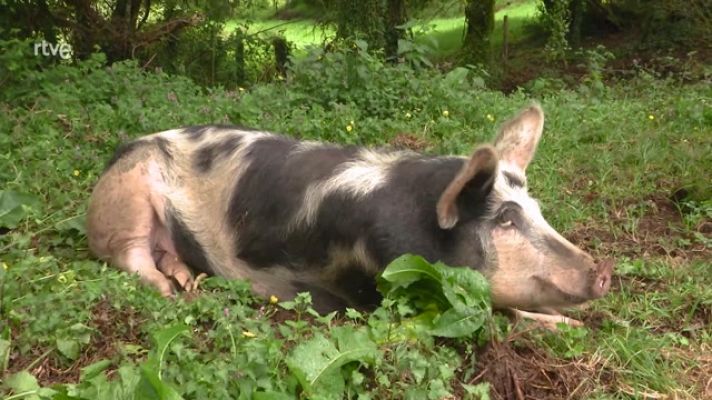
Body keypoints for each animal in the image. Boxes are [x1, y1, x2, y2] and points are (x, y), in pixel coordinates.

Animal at [87, 104, 613, 327]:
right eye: (504, 219)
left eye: (536, 211)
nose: (604, 269)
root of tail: (124, 147)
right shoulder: (384, 290)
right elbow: (498, 308)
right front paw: (572, 327)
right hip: (124, 199)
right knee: (132, 258)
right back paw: (174, 295)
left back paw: (186, 281)